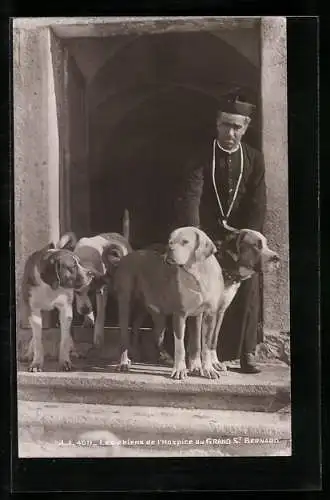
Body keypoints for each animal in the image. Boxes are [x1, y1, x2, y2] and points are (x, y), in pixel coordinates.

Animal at [21, 233, 95, 372]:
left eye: (80, 263)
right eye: (73, 266)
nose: (91, 273)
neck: (50, 286)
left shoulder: (66, 310)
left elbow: (64, 339)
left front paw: (65, 361)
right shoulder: (34, 311)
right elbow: (37, 340)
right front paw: (36, 363)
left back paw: (74, 351)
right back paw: (28, 354)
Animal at [74, 209, 132, 346]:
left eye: (91, 292)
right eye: (76, 292)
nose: (85, 310)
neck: (85, 261)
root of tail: (122, 237)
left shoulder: (101, 291)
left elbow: (101, 314)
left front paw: (98, 337)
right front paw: (88, 319)